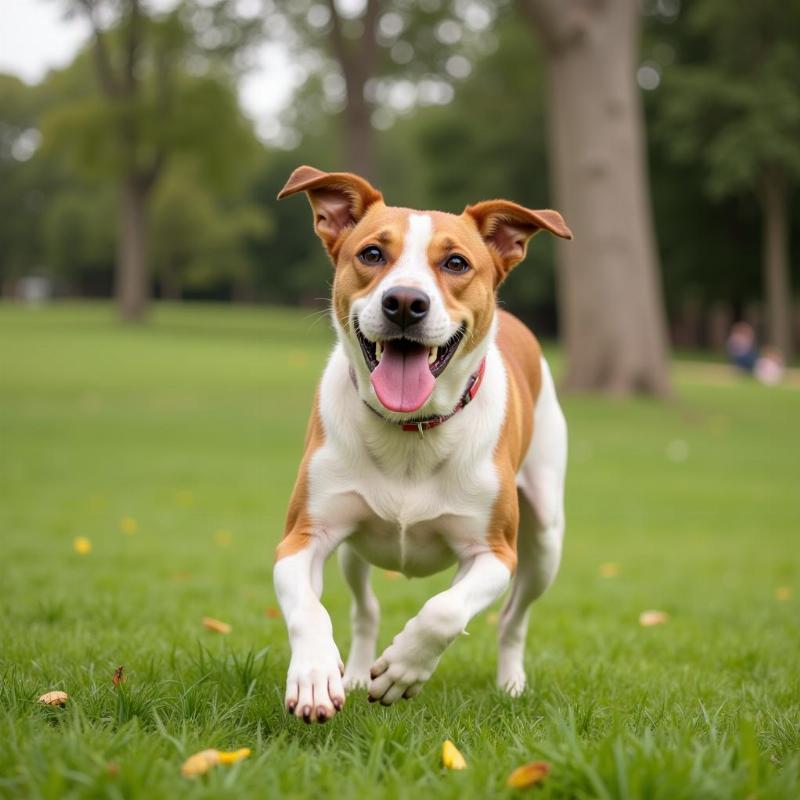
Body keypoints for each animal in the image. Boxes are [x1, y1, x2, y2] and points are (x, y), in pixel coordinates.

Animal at [272, 166, 572, 720]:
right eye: (371, 253)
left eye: (456, 263)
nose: (406, 303)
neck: (410, 430)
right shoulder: (304, 534)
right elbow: (307, 607)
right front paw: (316, 675)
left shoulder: (495, 552)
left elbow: (444, 610)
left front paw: (403, 669)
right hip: (355, 546)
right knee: (365, 607)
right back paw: (353, 672)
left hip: (545, 538)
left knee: (511, 618)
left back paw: (510, 682)